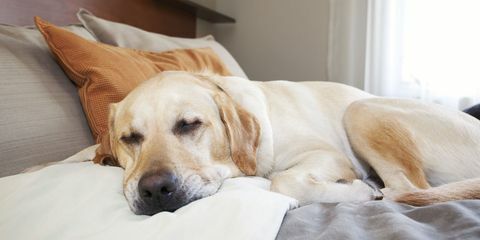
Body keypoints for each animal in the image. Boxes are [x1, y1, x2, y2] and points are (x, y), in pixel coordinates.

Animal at [93, 71, 480, 216]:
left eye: (189, 125)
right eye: (130, 138)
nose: (155, 190)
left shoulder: (326, 154)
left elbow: (283, 180)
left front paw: (357, 190)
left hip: (361, 109)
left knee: (407, 188)